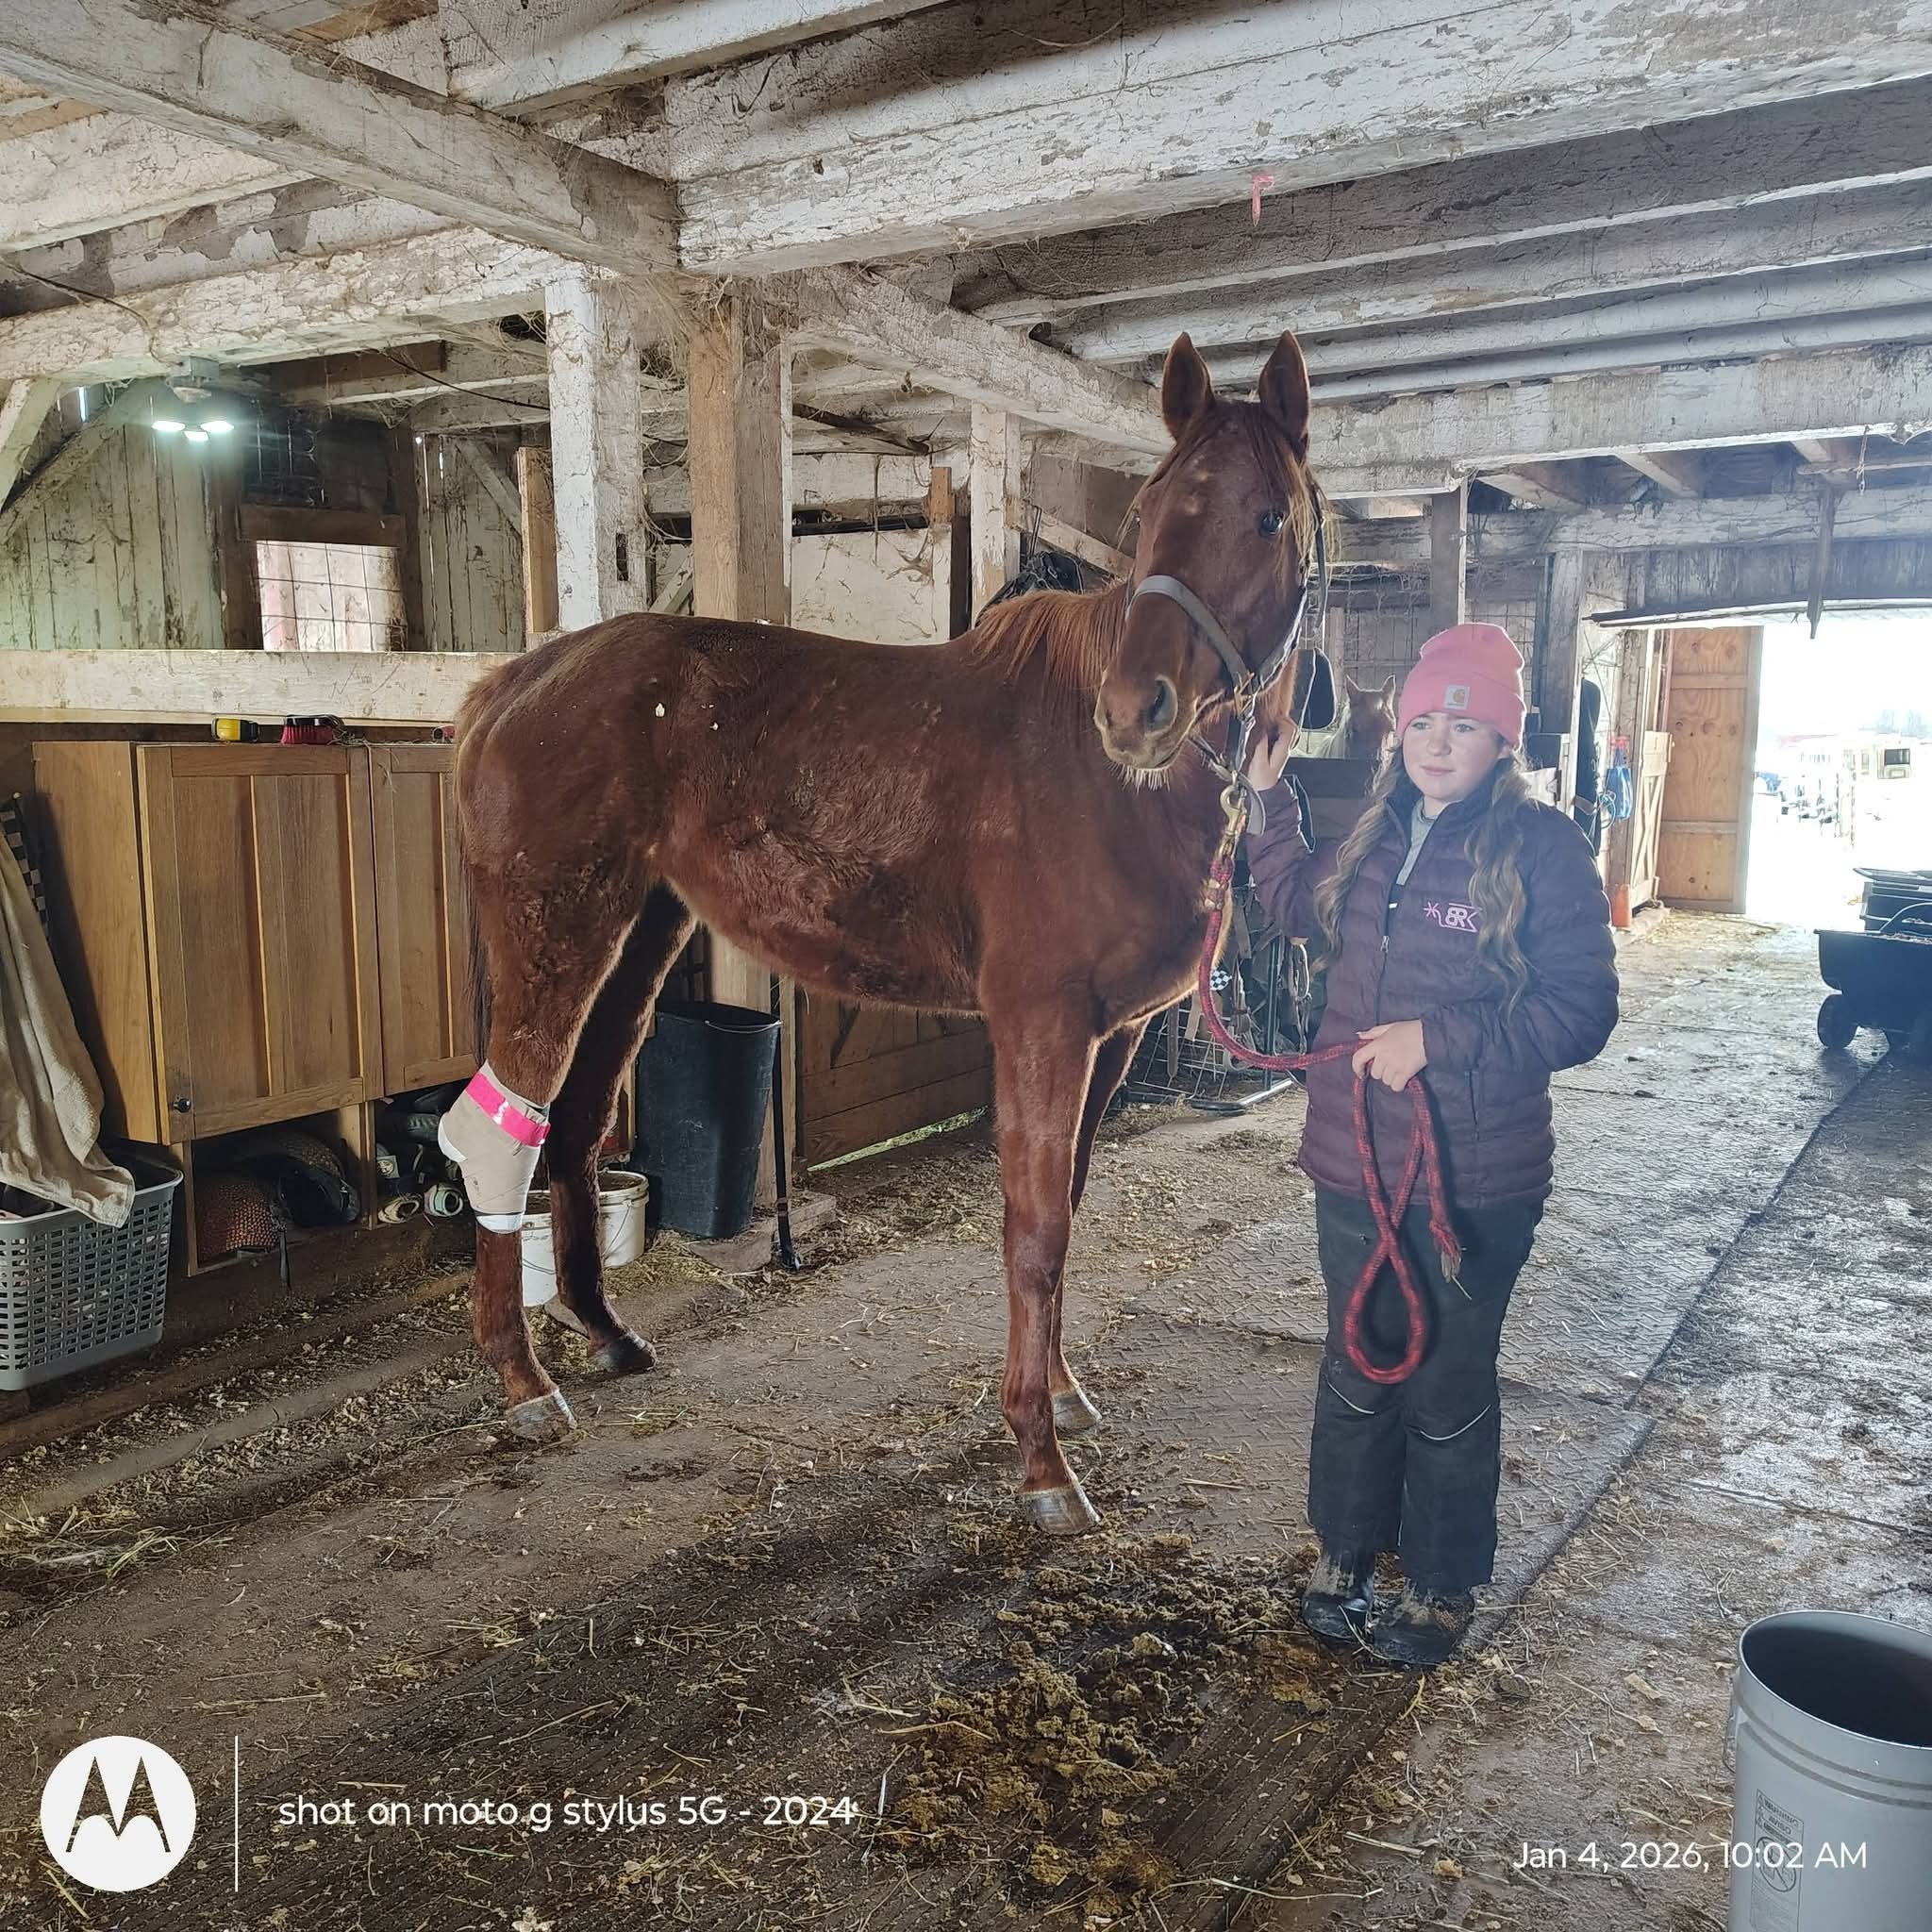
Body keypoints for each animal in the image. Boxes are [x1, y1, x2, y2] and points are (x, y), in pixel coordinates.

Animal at [443, 328, 1330, 1535]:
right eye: (1146, 514)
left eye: (1266, 517)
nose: (1133, 709)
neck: (1099, 778)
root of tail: (515, 678)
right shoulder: (1042, 1025)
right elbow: (1034, 1228)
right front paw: (1040, 1460)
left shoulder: (1112, 1035)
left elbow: (1071, 1199)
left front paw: (1061, 1390)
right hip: (559, 935)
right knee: (505, 1127)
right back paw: (521, 1379)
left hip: (637, 935)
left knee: (572, 1123)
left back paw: (610, 1336)